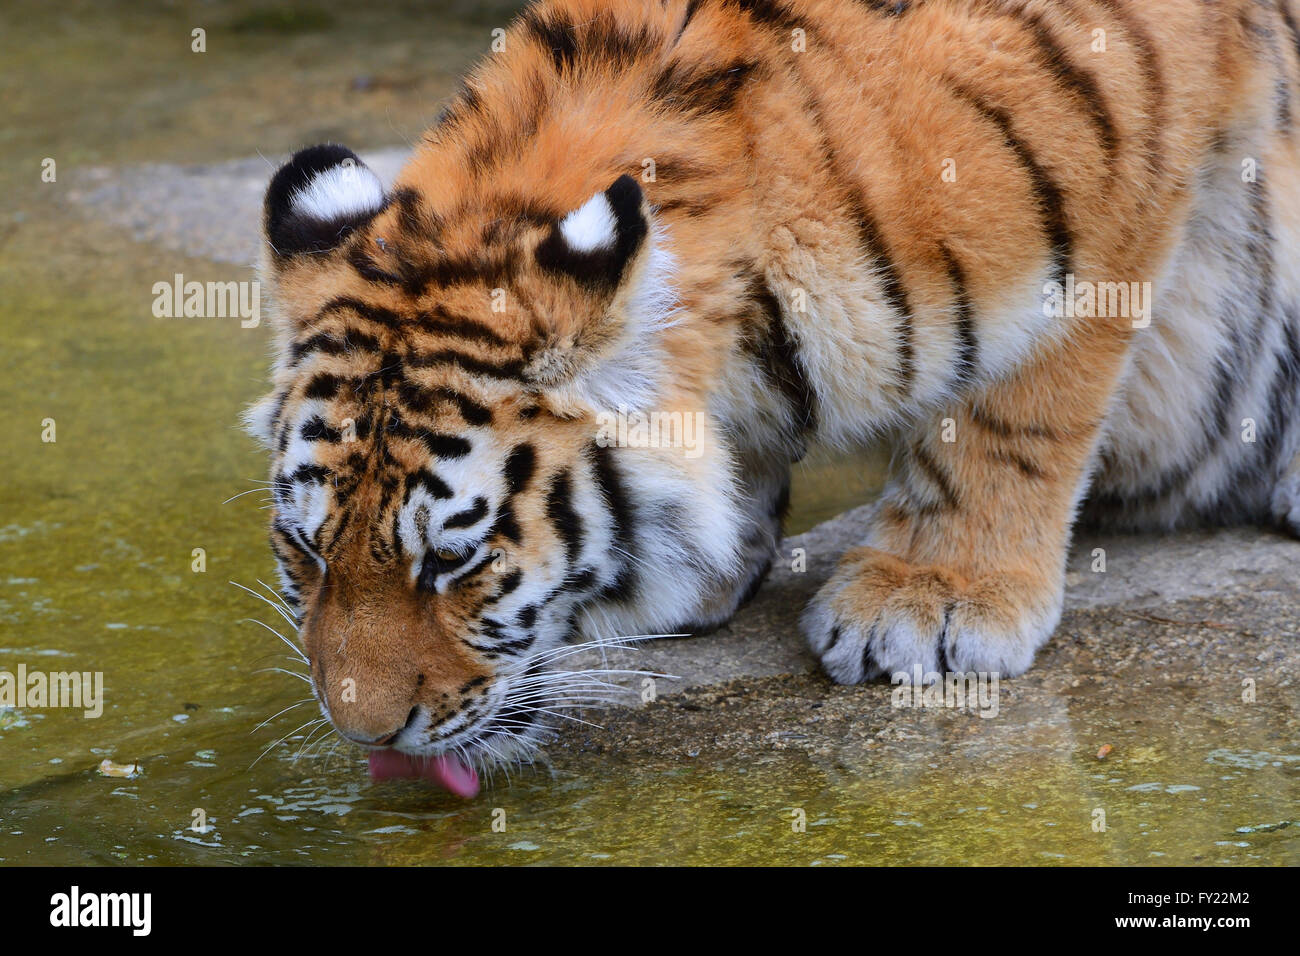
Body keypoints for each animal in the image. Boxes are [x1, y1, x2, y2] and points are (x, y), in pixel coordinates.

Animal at [245, 0, 1300, 790]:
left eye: (455, 562)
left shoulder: (1114, 198)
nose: (365, 736)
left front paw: (935, 599)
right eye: (307, 549)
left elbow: (1012, 415)